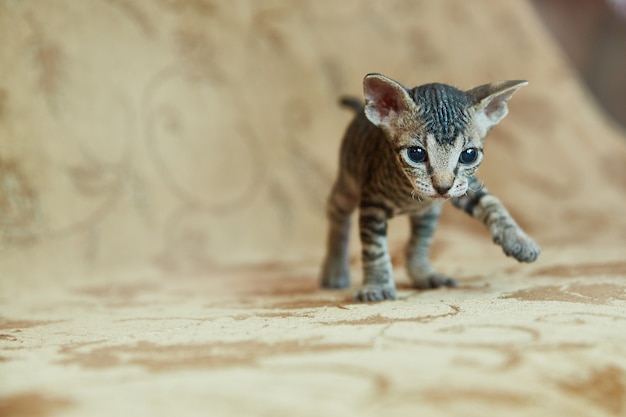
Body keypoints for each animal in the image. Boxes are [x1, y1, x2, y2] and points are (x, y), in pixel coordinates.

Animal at [320, 73, 540, 300]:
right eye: (416, 153)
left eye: (468, 155)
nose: (442, 187)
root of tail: (360, 113)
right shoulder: (373, 203)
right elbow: (375, 249)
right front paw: (378, 285)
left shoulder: (465, 186)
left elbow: (492, 203)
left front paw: (518, 239)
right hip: (347, 185)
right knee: (338, 217)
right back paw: (335, 270)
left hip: (428, 214)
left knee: (418, 243)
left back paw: (424, 274)